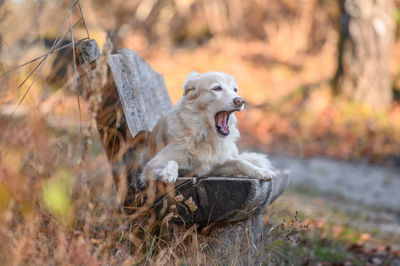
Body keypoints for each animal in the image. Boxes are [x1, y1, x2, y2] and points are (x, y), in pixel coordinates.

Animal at [139, 70, 274, 183]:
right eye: (217, 88)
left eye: (235, 90)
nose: (240, 101)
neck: (204, 133)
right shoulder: (149, 166)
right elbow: (172, 161)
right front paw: (168, 173)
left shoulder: (216, 165)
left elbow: (241, 162)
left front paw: (262, 172)